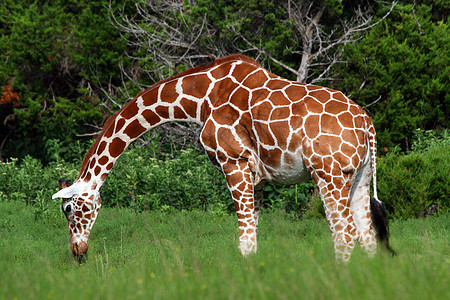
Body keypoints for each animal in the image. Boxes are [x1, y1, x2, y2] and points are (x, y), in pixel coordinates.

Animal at [51, 54, 394, 262]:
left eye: (68, 209)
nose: (78, 251)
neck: (199, 98)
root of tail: (367, 123)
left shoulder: (234, 161)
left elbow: (244, 243)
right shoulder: (257, 176)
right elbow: (253, 238)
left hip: (328, 173)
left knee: (345, 233)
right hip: (359, 175)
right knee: (367, 234)